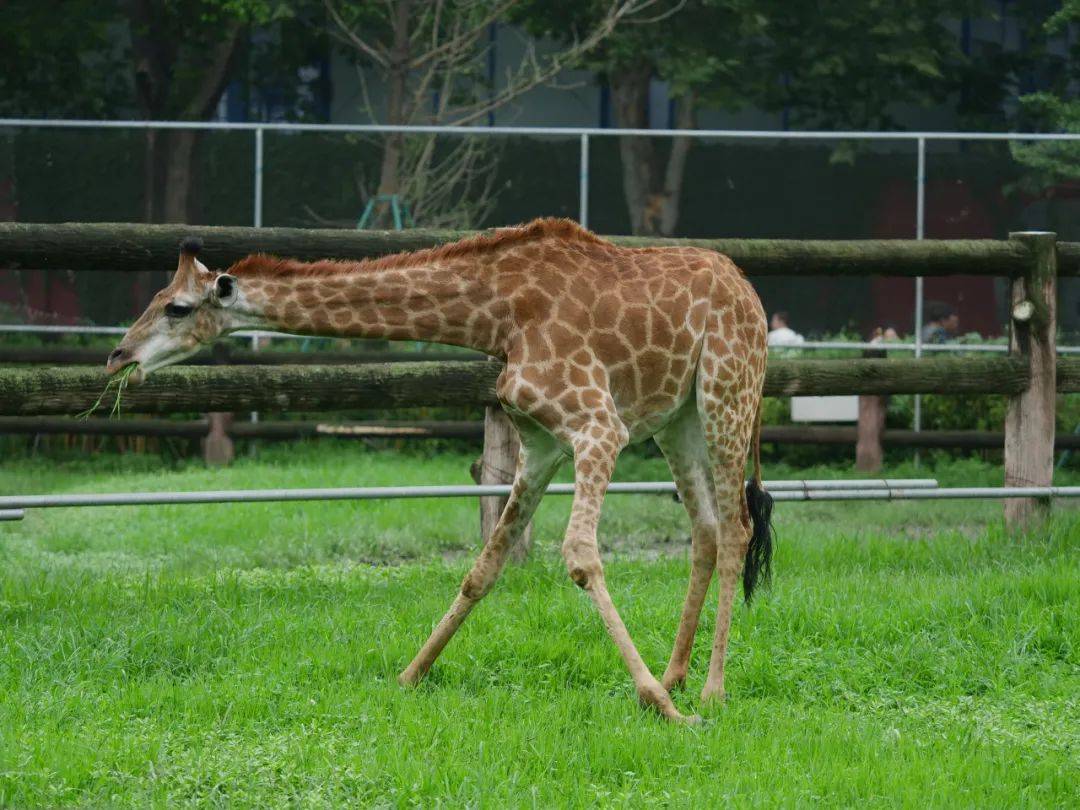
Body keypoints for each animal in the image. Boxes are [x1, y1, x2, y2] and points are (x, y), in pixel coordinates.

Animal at [107, 220, 768, 721]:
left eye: (176, 307)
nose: (117, 357)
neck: (496, 317)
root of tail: (750, 293)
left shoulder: (598, 426)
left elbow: (580, 555)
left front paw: (660, 705)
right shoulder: (541, 444)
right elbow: (483, 568)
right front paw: (409, 675)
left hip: (727, 392)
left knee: (738, 528)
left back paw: (708, 691)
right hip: (676, 420)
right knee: (706, 530)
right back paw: (678, 673)